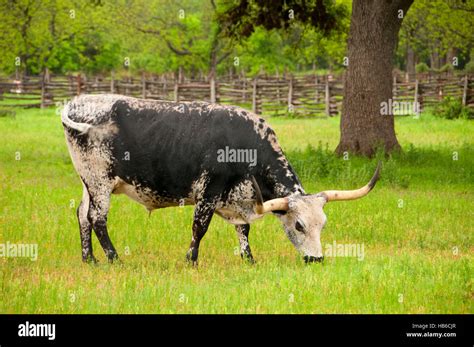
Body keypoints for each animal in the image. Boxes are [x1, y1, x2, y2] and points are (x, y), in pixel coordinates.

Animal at [62, 94, 382, 266]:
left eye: (323, 225)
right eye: (299, 225)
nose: (316, 259)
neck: (247, 144)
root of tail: (79, 102)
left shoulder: (239, 199)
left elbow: (243, 229)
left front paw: (248, 259)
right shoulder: (209, 191)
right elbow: (199, 227)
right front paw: (191, 260)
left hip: (89, 183)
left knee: (82, 215)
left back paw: (89, 259)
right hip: (100, 182)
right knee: (97, 218)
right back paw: (114, 258)